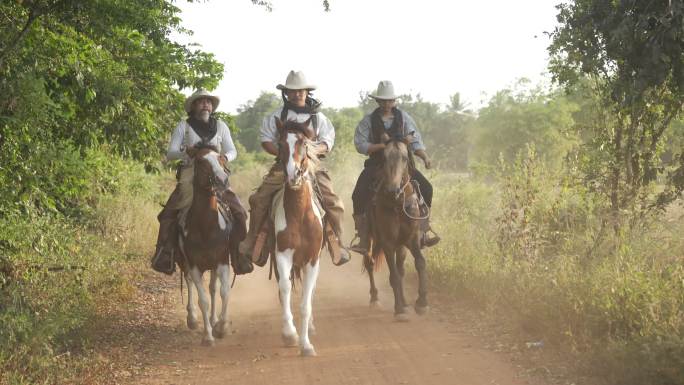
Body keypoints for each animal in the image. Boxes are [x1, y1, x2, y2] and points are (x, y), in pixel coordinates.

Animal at [176, 145, 238, 344]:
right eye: (201, 162)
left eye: (221, 158)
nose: (223, 180)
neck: (206, 228)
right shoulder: (195, 265)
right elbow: (202, 299)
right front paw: (208, 336)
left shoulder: (222, 262)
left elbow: (224, 292)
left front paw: (221, 327)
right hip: (187, 264)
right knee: (189, 281)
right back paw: (193, 319)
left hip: (213, 265)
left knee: (213, 288)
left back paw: (214, 320)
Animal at [364, 136, 428, 320]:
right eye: (384, 158)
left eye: (405, 158)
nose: (393, 190)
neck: (398, 204)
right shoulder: (387, 243)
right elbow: (393, 276)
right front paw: (399, 310)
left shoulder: (412, 239)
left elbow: (420, 263)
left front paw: (421, 303)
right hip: (370, 239)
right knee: (370, 263)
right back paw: (375, 299)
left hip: (401, 246)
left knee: (401, 269)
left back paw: (406, 302)